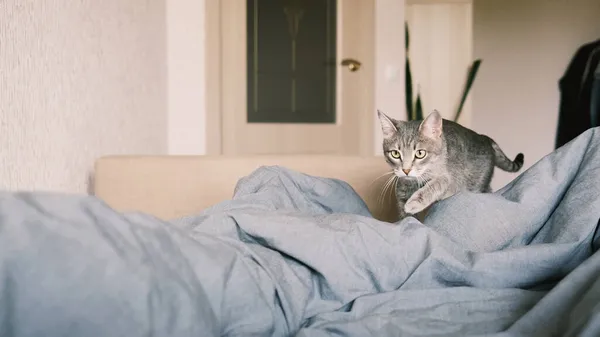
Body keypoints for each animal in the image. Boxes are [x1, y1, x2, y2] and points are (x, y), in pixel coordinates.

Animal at [378, 108, 524, 218]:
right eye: (395, 154)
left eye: (420, 153)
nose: (406, 170)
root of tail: (485, 138)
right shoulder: (401, 189)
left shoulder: (448, 178)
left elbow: (435, 185)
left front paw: (415, 202)